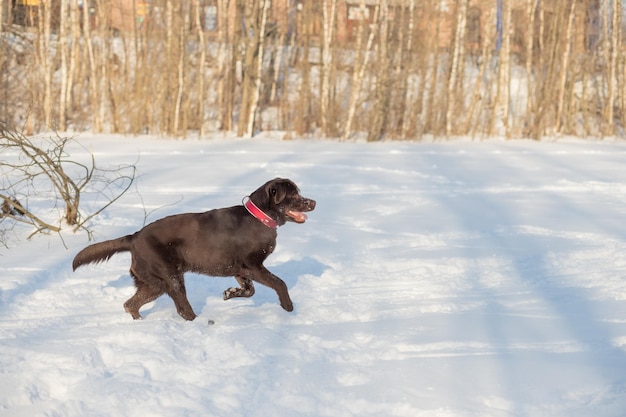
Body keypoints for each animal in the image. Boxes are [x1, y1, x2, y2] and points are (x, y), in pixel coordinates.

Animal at [72, 178, 314, 318]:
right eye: (293, 194)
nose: (313, 203)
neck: (258, 218)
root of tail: (133, 238)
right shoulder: (253, 266)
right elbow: (279, 283)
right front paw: (288, 307)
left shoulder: (240, 269)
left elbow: (249, 290)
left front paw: (230, 293)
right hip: (171, 278)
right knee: (182, 308)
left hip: (154, 284)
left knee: (130, 304)